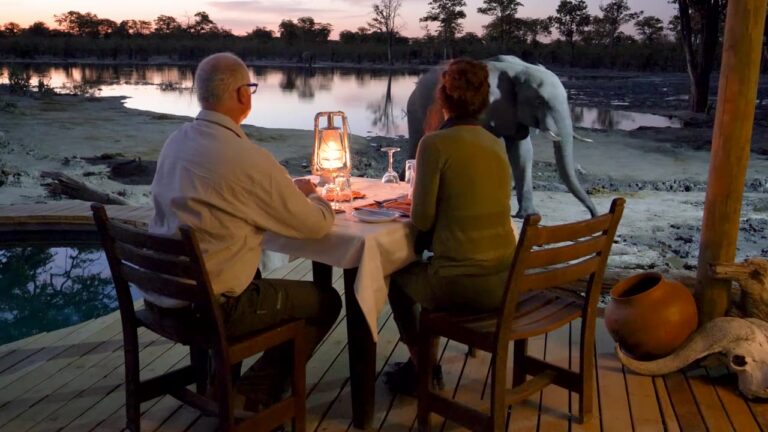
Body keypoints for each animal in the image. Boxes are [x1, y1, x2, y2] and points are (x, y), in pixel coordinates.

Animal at [406, 55, 597, 218]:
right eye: (539, 101)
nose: (593, 215)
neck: (519, 70)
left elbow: (522, 151)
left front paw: (528, 216)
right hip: (417, 107)